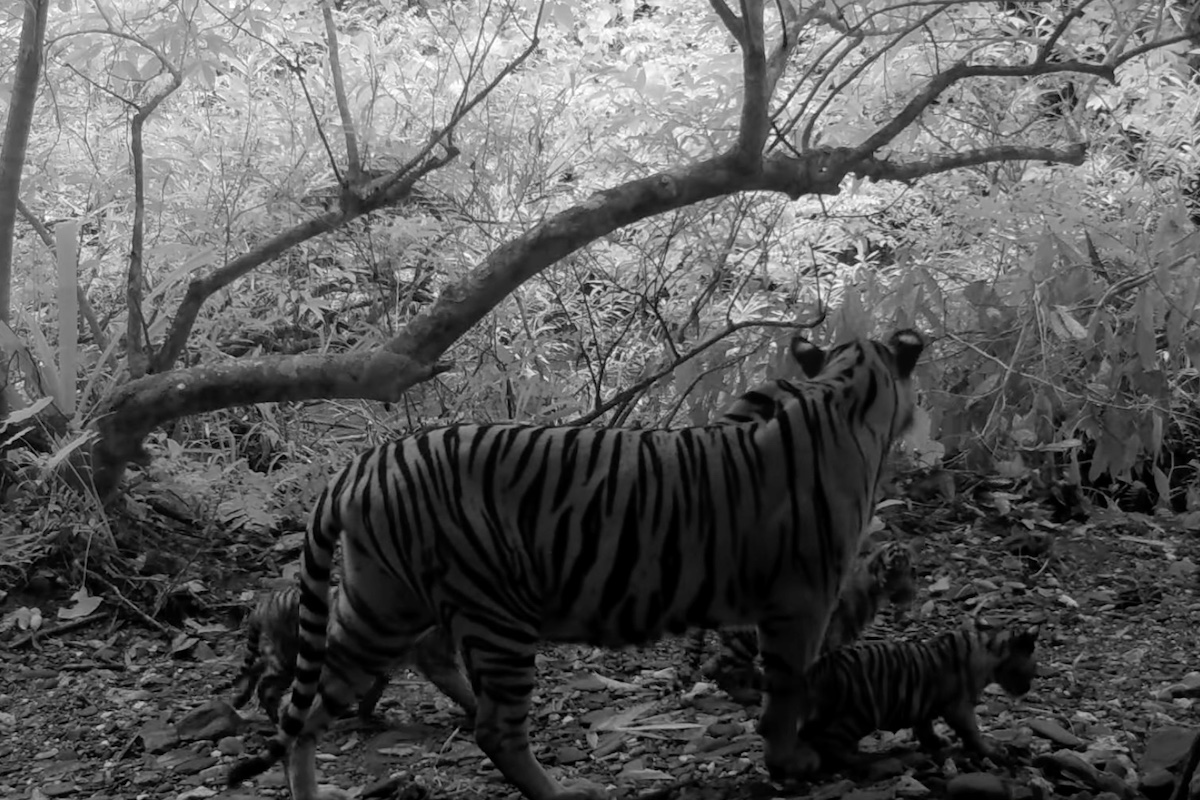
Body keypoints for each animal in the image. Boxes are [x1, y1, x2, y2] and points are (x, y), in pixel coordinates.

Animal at [226, 331, 926, 800]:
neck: (843, 392)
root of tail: (361, 464)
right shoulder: (803, 600)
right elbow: (790, 687)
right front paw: (792, 759)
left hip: (379, 608)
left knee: (308, 707)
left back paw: (313, 791)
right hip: (495, 614)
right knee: (495, 729)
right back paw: (562, 792)